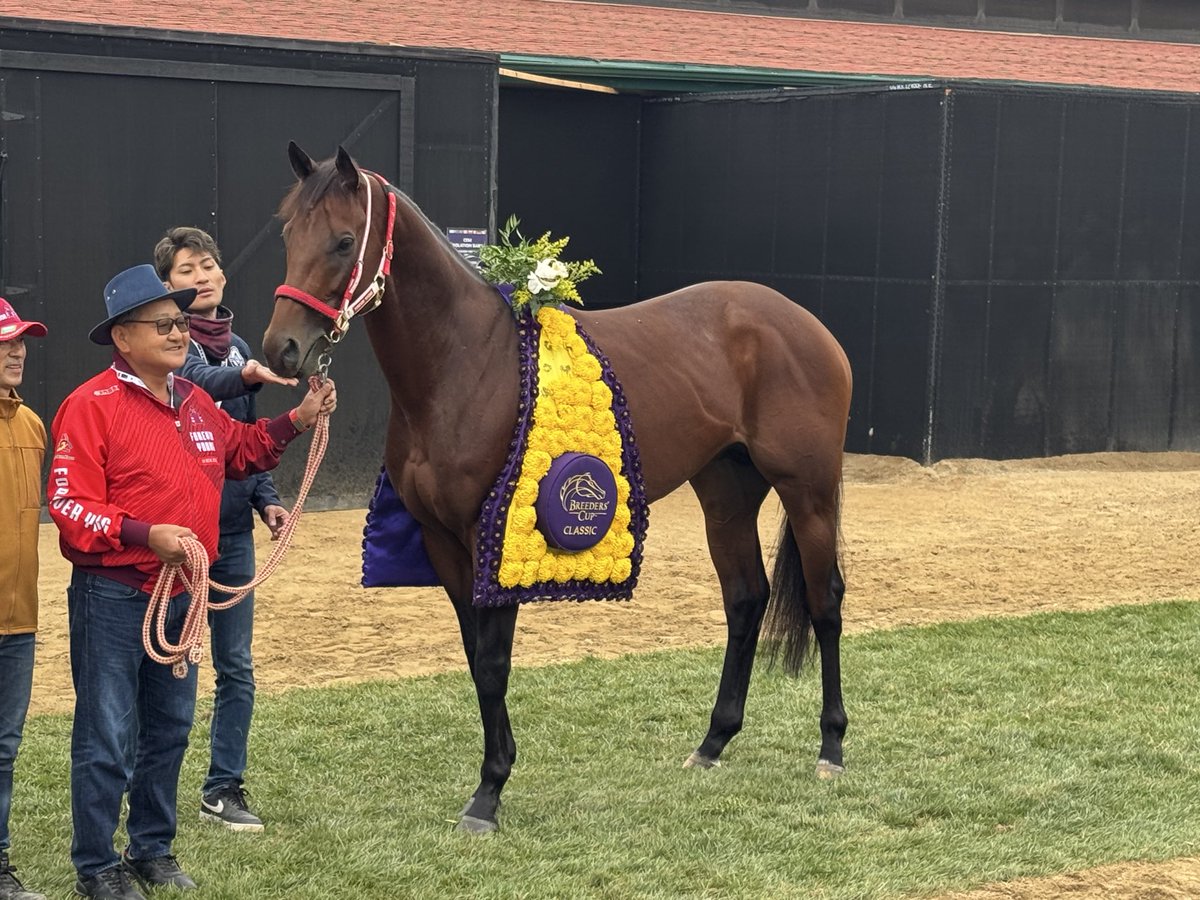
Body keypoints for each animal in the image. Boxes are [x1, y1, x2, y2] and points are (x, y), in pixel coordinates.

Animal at [263, 143, 853, 834]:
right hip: (726, 496)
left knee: (825, 602)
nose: (282, 349)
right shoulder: (442, 542)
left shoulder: (491, 536)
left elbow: (494, 662)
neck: (466, 363)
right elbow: (478, 660)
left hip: (809, 492)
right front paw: (494, 776)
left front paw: (488, 794)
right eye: (288, 234)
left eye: (341, 240)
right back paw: (712, 743)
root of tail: (801, 321)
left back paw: (831, 748)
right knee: (745, 599)